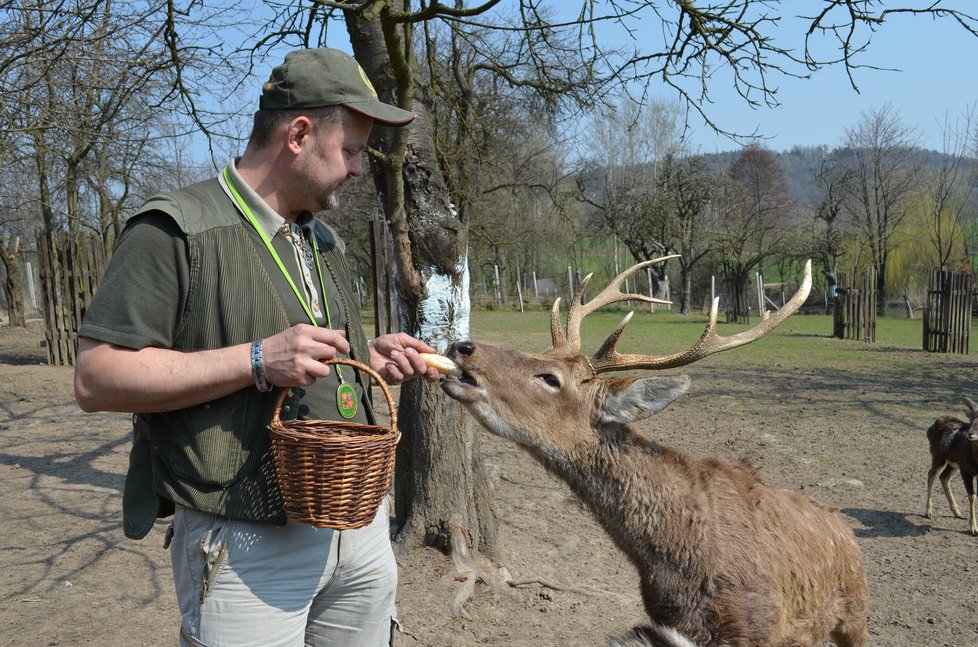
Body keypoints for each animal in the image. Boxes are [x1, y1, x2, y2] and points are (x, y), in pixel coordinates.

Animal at [438, 258, 864, 647]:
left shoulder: (758, 629)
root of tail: (845, 528)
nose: (463, 346)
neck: (681, 563)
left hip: (855, 609)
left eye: (550, 378)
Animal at [924, 398, 976, 540]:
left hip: (952, 465)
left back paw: (957, 513)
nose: (971, 434)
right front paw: (974, 530)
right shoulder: (966, 472)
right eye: (972, 419)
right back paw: (928, 512)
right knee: (931, 475)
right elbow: (972, 496)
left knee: (944, 477)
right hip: (939, 458)